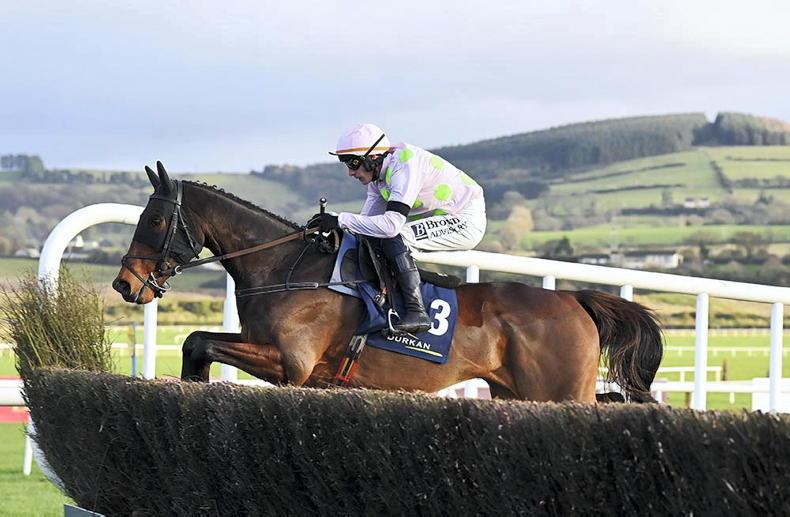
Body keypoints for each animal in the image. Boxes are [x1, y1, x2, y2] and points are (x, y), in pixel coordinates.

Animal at [113, 162, 664, 403]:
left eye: (155, 221)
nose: (124, 284)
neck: (286, 269)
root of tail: (574, 301)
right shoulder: (262, 345)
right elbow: (195, 341)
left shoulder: (290, 363)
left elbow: (199, 340)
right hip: (514, 395)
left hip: (565, 393)